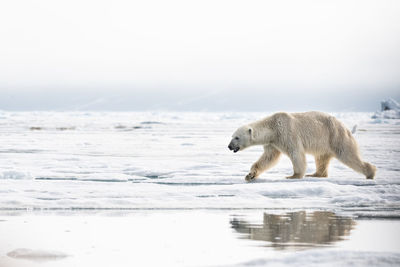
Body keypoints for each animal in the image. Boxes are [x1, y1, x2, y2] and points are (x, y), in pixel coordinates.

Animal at [230, 111, 376, 182]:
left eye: (236, 137)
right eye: (232, 136)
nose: (229, 146)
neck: (273, 127)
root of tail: (345, 126)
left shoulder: (287, 133)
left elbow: (296, 153)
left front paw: (293, 176)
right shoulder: (273, 142)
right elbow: (268, 158)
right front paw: (250, 175)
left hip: (335, 136)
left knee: (347, 153)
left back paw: (371, 172)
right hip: (324, 143)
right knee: (321, 158)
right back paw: (316, 174)